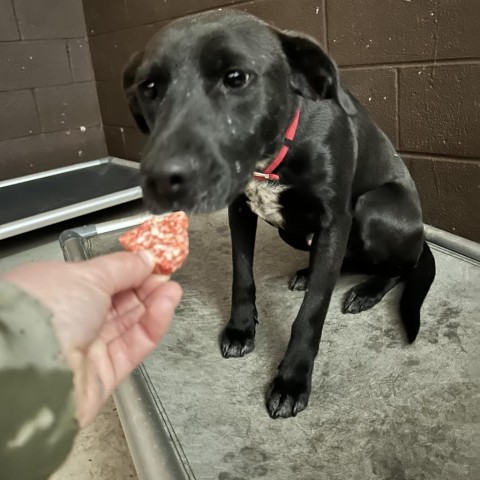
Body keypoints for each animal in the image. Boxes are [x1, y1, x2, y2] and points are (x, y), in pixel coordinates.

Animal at [123, 9, 436, 418]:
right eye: (150, 87)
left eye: (236, 78)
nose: (160, 179)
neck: (273, 152)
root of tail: (420, 236)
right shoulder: (240, 210)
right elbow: (242, 276)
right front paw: (241, 328)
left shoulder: (336, 220)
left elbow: (312, 310)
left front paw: (291, 380)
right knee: (342, 262)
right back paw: (309, 273)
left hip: (373, 208)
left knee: (399, 266)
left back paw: (368, 290)